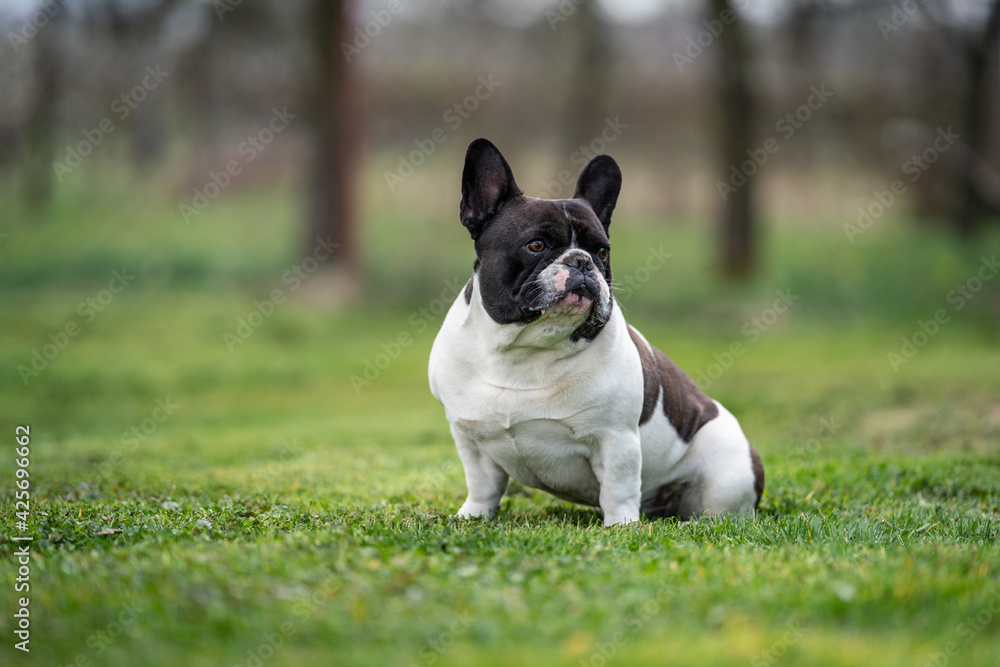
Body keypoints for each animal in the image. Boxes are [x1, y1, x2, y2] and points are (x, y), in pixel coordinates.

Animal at [426, 140, 760, 528]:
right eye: (536, 245)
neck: (525, 351)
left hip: (726, 476)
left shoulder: (616, 439)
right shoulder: (470, 438)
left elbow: (618, 487)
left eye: (602, 251)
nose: (582, 261)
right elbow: (481, 483)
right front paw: (473, 516)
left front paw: (621, 526)